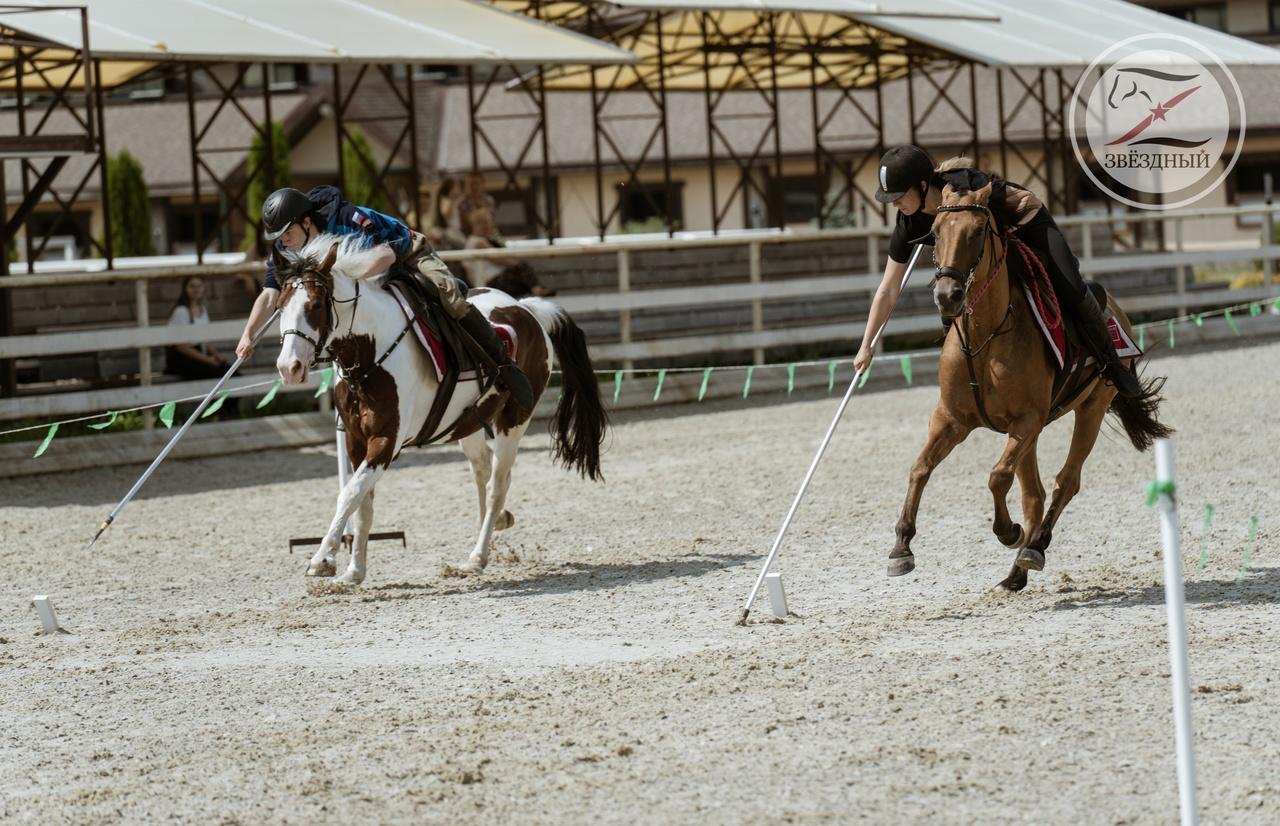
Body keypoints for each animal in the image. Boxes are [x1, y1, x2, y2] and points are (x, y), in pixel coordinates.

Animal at [271, 235, 609, 583]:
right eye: (280, 306)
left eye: (314, 306)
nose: (289, 367)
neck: (370, 352)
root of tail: (527, 309)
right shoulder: (355, 440)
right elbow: (362, 503)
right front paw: (354, 572)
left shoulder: (386, 442)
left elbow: (350, 494)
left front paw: (322, 559)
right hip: (467, 423)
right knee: (482, 469)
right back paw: (493, 529)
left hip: (514, 420)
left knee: (496, 485)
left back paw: (477, 556)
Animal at [890, 183, 1172, 589]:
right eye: (936, 233)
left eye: (978, 231)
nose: (947, 295)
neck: (986, 336)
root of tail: (1118, 312)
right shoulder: (951, 419)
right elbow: (920, 468)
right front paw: (901, 547)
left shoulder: (1026, 421)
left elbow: (997, 476)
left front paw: (1008, 532)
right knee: (1034, 495)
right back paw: (1015, 573)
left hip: (1092, 408)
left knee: (1065, 481)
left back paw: (1033, 547)